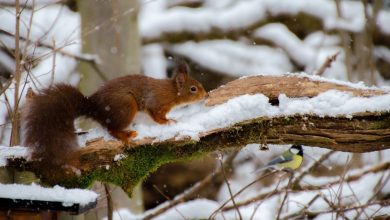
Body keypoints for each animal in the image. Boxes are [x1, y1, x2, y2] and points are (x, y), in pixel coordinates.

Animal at [22, 60, 207, 167]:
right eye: (193, 89)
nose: (206, 95)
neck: (172, 92)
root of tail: (95, 107)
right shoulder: (155, 102)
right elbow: (155, 115)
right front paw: (167, 122)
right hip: (126, 107)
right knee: (111, 129)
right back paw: (126, 135)